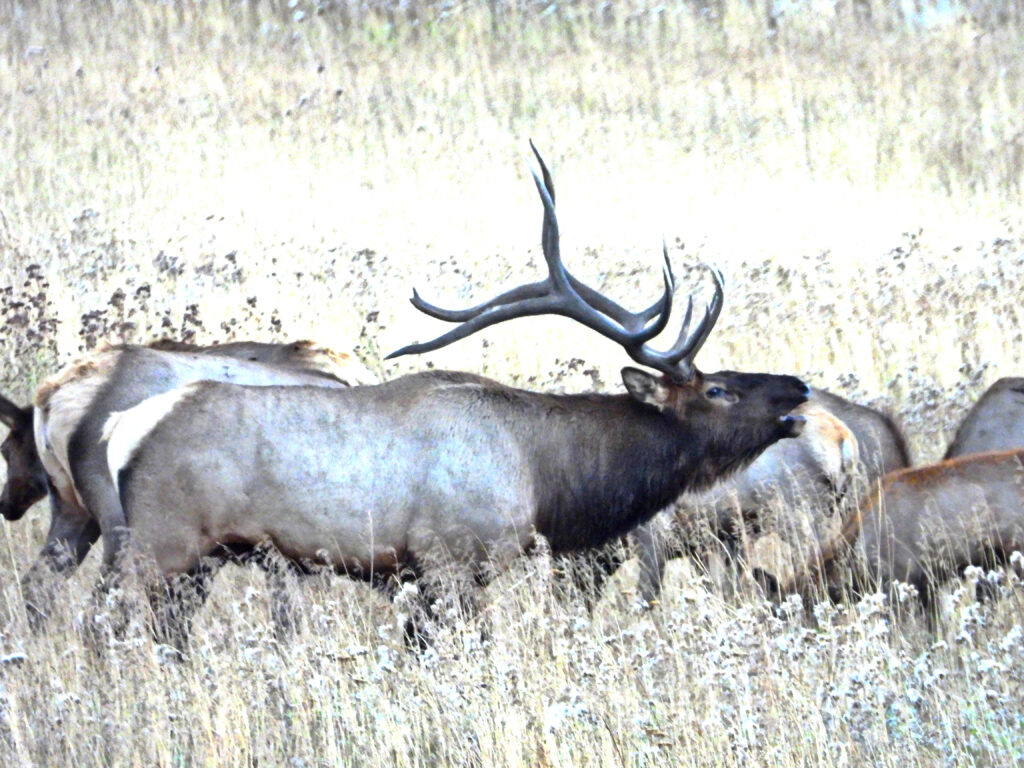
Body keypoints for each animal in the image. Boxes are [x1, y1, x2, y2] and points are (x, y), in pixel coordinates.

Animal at [0, 339, 375, 628]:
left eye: (5, 449)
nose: (6, 505)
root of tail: (52, 402)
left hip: (74, 509)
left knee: (38, 585)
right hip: (125, 523)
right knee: (104, 607)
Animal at [100, 144, 810, 648]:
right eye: (718, 388)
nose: (797, 387)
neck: (544, 476)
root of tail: (121, 430)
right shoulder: (449, 560)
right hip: (162, 546)